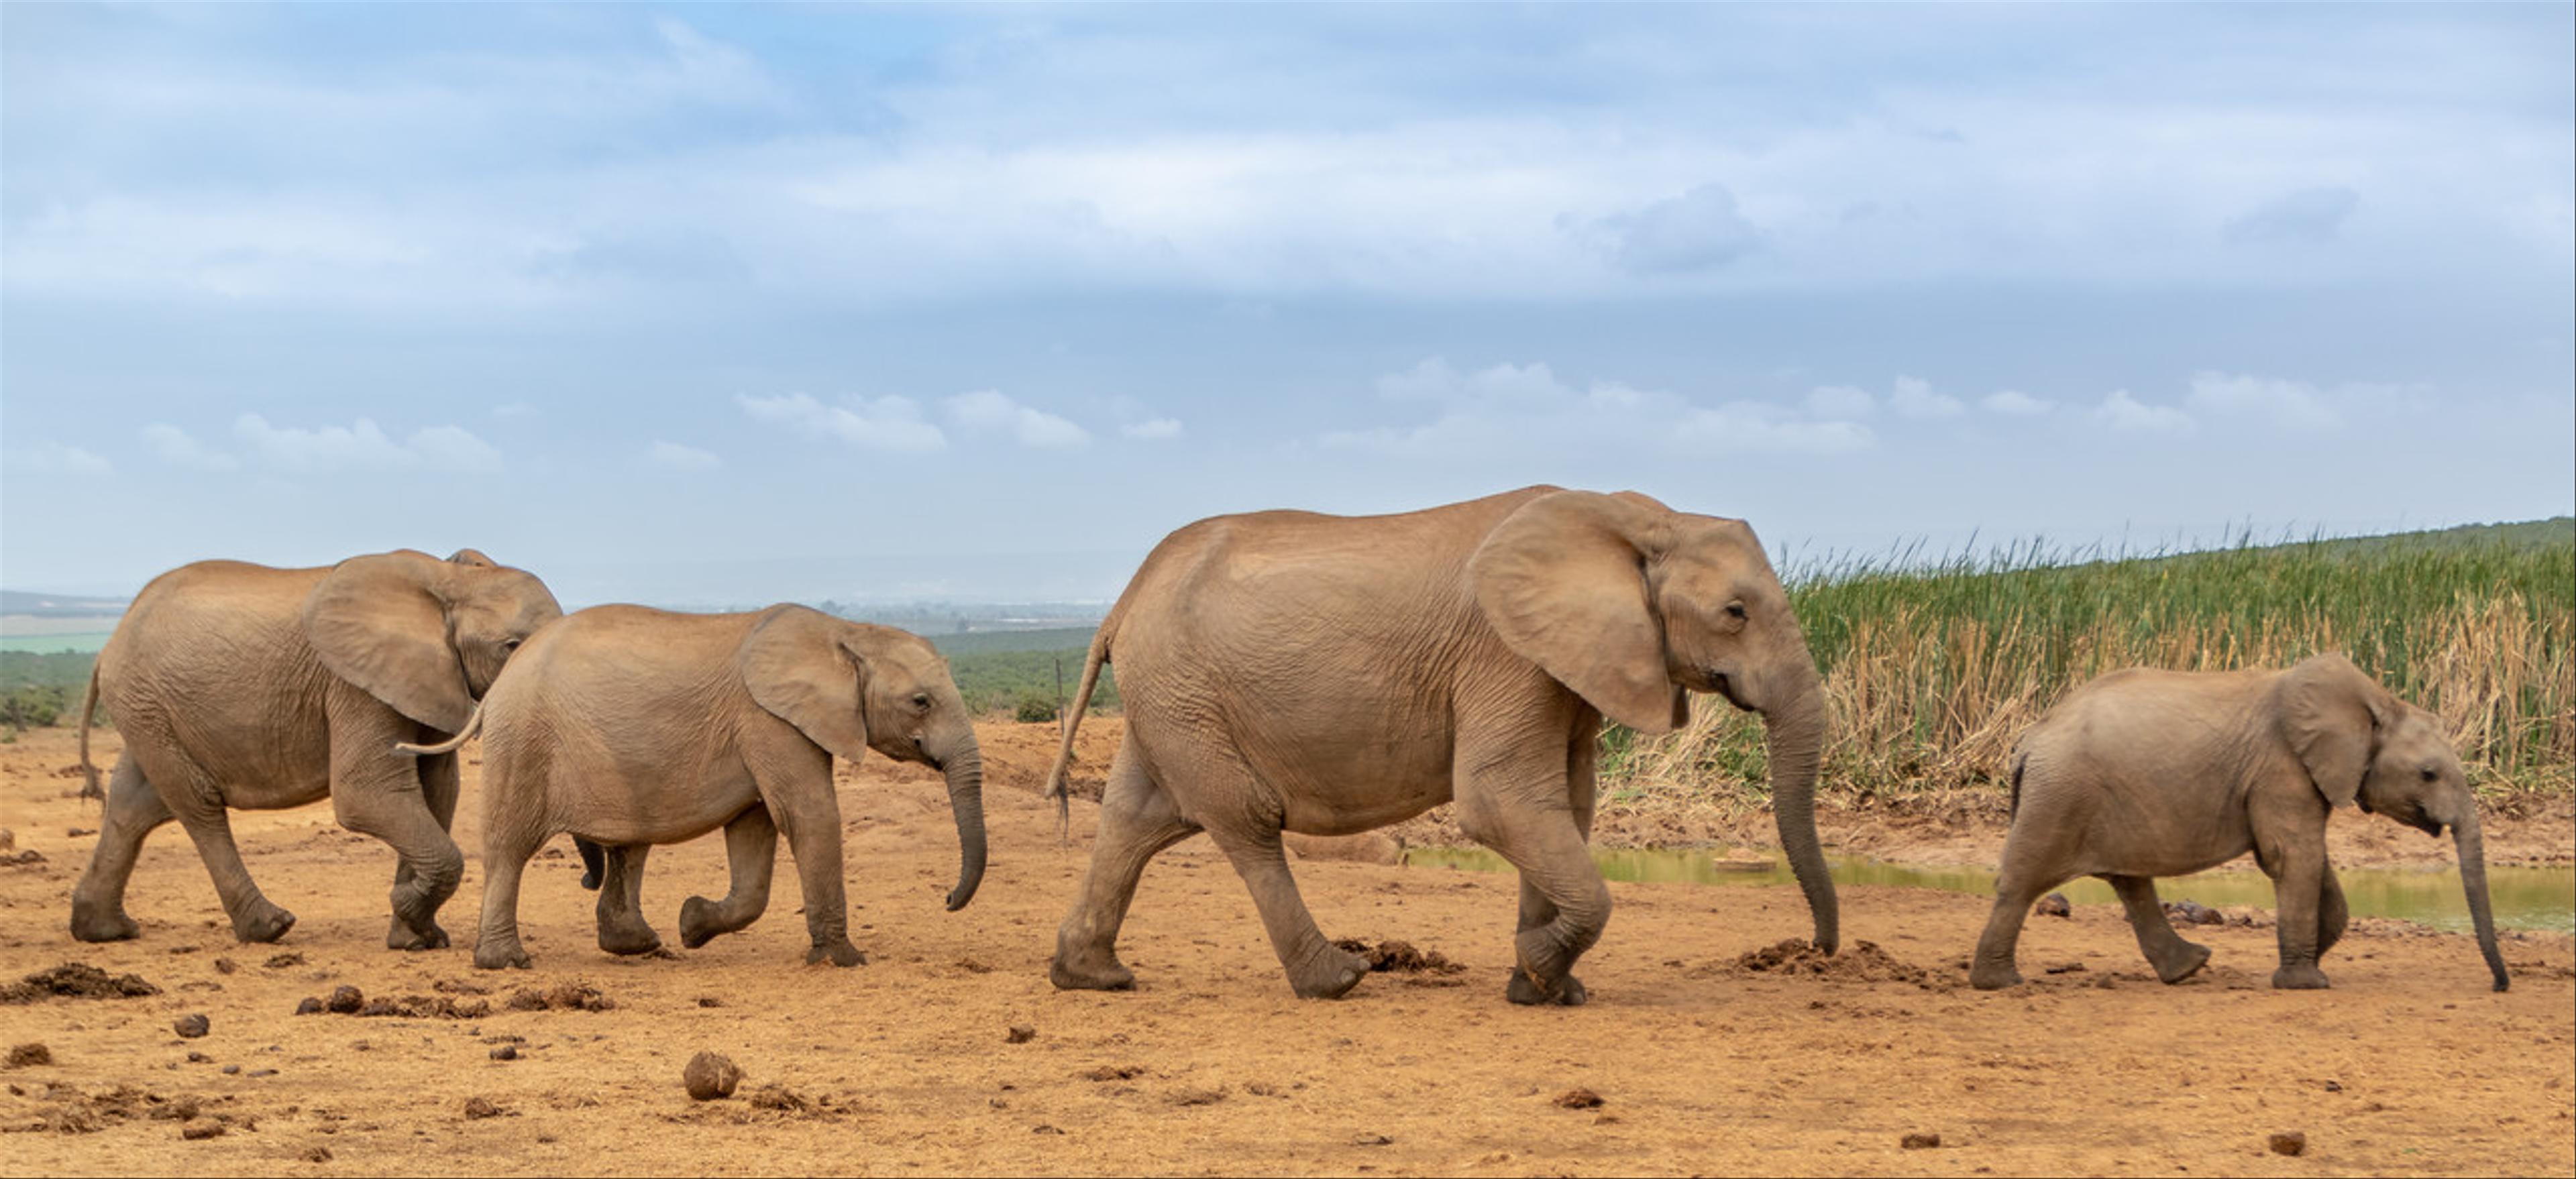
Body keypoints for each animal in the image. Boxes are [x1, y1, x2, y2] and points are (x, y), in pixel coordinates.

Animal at [70, 545, 561, 947]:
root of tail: (109, 644)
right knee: (197, 804)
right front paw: (407, 909)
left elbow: (438, 791)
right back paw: (269, 928)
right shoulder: (353, 684)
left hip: (148, 710)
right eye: (511, 646)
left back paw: (103, 931)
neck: (450, 580)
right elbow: (367, 793)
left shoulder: (431, 678)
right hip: (146, 700)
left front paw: (416, 936)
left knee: (136, 803)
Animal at [402, 602, 983, 972]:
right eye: (921, 702)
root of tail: (497, 686)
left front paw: (692, 925)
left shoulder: (763, 729)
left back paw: (640, 945)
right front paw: (844, 961)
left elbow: (755, 831)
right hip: (523, 740)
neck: (847, 632)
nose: (948, 900)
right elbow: (808, 816)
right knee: (511, 848)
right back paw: (507, 963)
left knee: (628, 847)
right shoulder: (770, 720)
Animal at [1035, 486, 1844, 1003]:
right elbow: (1501, 802)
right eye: (1735, 612)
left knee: (1136, 819)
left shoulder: (1564, 669)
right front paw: (1540, 970)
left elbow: (1565, 805)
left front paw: (1545, 990)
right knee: (1245, 821)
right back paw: (1341, 980)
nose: (1818, 951)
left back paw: (1094, 978)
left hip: (1170, 697)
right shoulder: (1506, 657)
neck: (1643, 519)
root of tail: (1123, 602)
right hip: (1186, 693)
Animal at [1957, 653, 2504, 993]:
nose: (2500, 985)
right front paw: (2306, 982)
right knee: (2024, 880)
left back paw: (2189, 968)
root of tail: (2029, 740)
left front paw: (2312, 959)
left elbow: (2305, 860)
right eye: (2428, 774)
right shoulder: (2282, 767)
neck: (2376, 700)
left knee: (2130, 881)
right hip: (2061, 794)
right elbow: (2292, 856)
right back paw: (1999, 983)